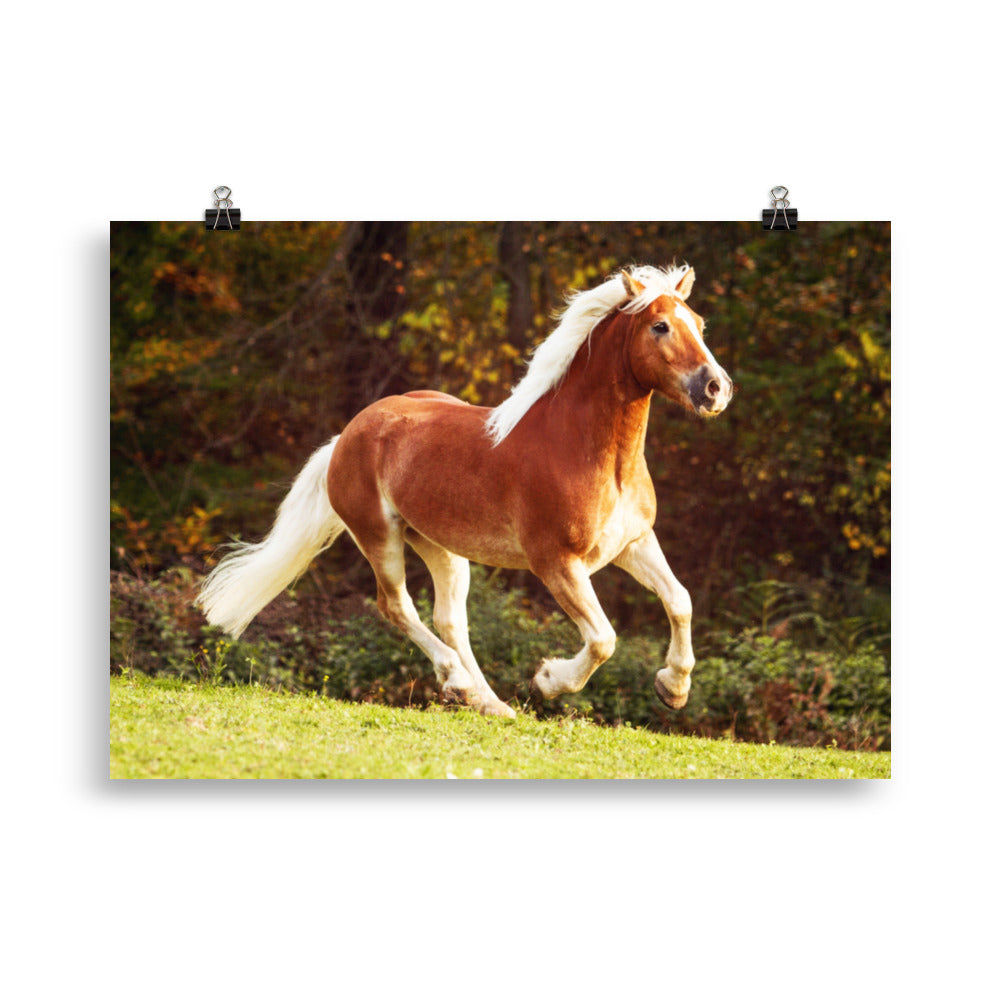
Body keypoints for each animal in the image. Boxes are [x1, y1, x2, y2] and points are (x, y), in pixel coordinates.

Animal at [197, 264, 733, 718]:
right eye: (660, 326)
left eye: (700, 323)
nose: (716, 389)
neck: (587, 451)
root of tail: (349, 433)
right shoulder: (556, 563)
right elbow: (603, 638)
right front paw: (547, 680)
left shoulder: (633, 544)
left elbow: (680, 600)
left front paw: (673, 688)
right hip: (379, 536)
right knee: (397, 606)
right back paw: (459, 682)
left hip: (442, 546)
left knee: (450, 619)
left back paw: (487, 701)